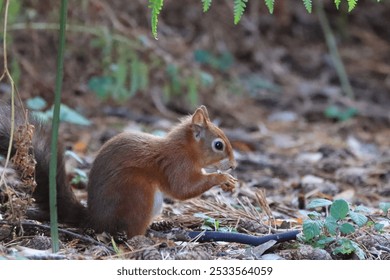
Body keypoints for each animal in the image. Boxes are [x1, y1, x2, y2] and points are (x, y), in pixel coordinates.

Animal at [0, 104, 236, 237]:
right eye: (218, 145)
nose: (234, 165)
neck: (186, 149)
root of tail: (95, 220)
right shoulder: (176, 164)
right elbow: (182, 189)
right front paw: (221, 178)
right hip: (138, 191)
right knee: (130, 231)